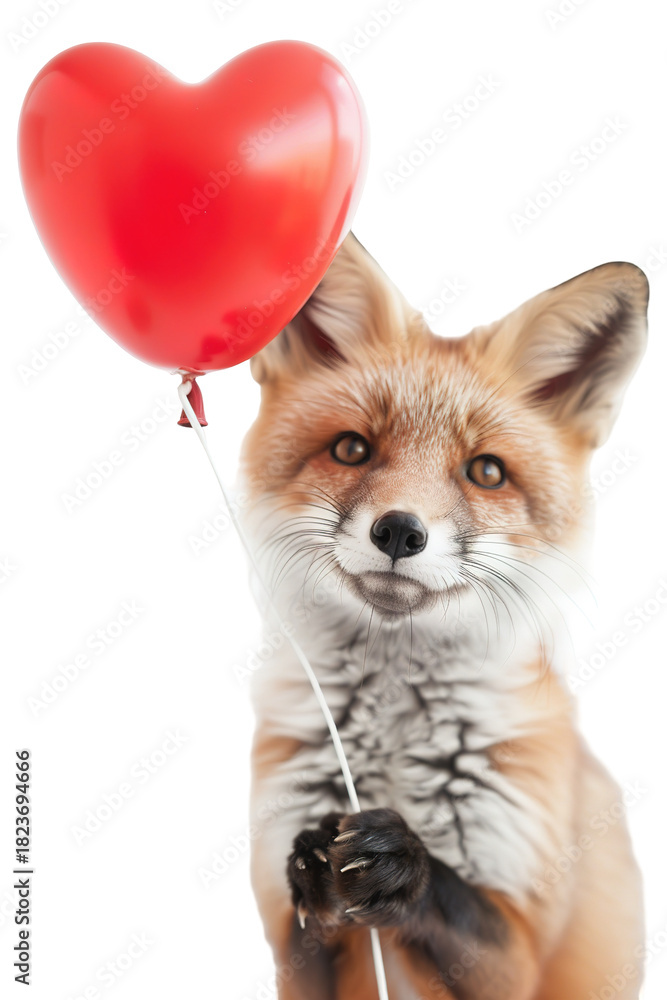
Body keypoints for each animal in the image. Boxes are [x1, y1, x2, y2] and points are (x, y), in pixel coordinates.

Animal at [239, 233, 648, 1000]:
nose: (400, 532)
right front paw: (319, 861)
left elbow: (457, 902)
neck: (395, 735)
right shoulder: (285, 943)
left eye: (486, 472)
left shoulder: (520, 942)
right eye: (352, 449)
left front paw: (405, 862)